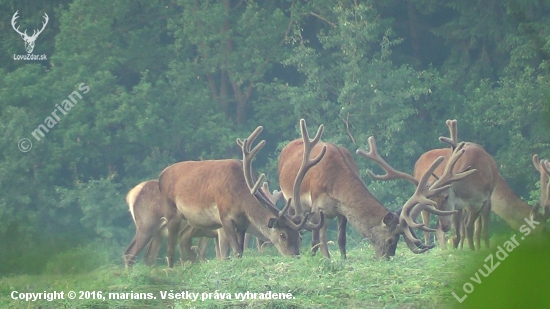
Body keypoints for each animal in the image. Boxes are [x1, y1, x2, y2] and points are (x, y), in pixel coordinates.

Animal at [157, 119, 326, 264]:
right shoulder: (224, 216)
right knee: (170, 245)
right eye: (282, 234)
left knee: (182, 239)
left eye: (299, 237)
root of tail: (161, 175)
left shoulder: (242, 223)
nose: (295, 256)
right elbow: (234, 251)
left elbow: (240, 252)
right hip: (170, 211)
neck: (240, 197)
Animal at [278, 119, 476, 258]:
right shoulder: (317, 206)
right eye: (390, 239)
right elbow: (320, 239)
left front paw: (343, 259)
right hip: (293, 201)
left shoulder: (341, 210)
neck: (334, 180)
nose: (387, 258)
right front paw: (326, 259)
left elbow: (341, 239)